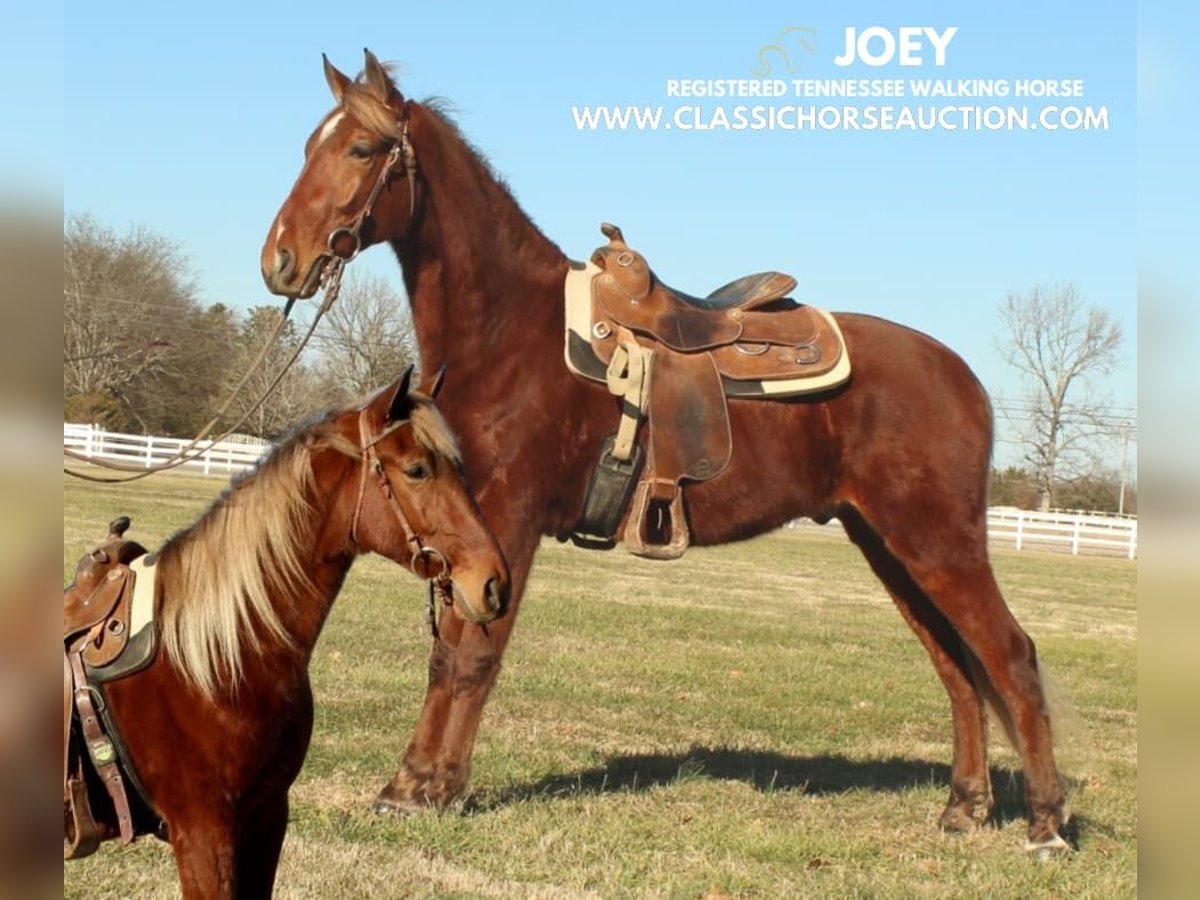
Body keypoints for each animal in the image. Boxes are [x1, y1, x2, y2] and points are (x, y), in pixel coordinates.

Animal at [258, 51, 1075, 859]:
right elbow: (451, 651)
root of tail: (964, 378)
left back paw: (1045, 825)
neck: (505, 333)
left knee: (1010, 655)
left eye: (363, 149)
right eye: (306, 146)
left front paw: (426, 789)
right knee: (957, 667)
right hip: (888, 545)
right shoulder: (469, 527)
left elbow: (470, 655)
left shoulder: (508, 520)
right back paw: (964, 808)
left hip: (938, 542)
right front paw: (419, 785)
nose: (282, 261)